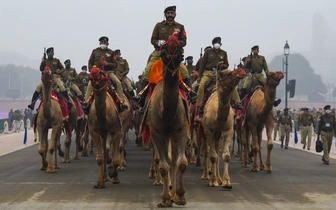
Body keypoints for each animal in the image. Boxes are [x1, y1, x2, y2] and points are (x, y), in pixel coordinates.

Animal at [141, 33, 189, 208]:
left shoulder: (181, 129)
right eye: (165, 48)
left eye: (181, 48)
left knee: (173, 160)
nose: (174, 61)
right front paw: (165, 199)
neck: (167, 113)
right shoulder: (156, 131)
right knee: (167, 160)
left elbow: (181, 163)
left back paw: (174, 192)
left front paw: (180, 196)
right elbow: (162, 165)